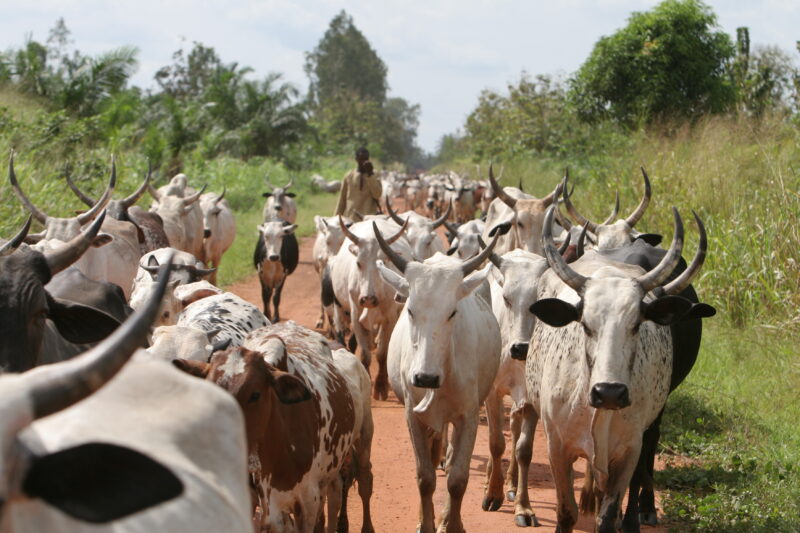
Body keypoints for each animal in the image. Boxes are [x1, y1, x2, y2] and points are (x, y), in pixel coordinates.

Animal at [330, 217, 412, 400]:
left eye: (382, 263)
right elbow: (365, 355)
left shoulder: (390, 318)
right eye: (358, 263)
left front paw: (381, 386)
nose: (368, 299)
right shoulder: (355, 315)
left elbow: (382, 354)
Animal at [525, 205, 708, 533]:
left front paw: (623, 516)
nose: (609, 392)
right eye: (585, 325)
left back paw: (640, 513)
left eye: (636, 325)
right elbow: (565, 512)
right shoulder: (557, 446)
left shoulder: (628, 451)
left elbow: (609, 514)